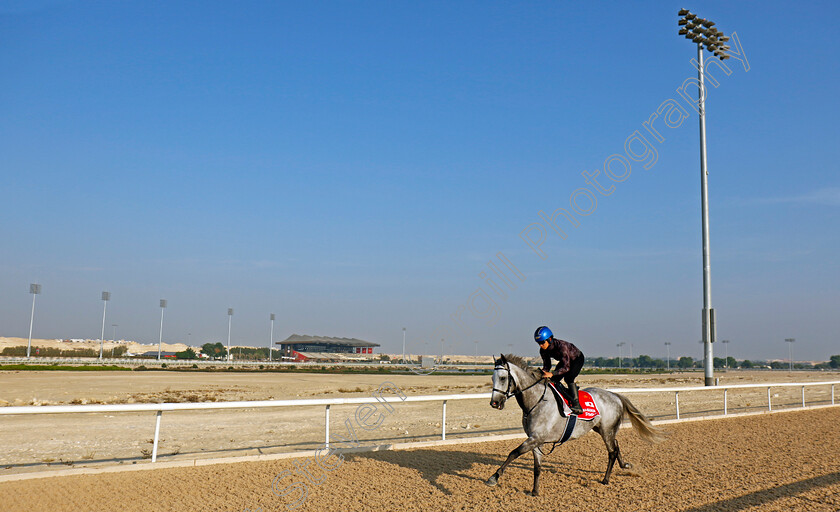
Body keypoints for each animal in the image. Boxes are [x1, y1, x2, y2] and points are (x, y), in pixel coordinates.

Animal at [486, 354, 664, 494]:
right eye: (492, 378)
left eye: (503, 378)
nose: (494, 403)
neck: (536, 401)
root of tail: (615, 395)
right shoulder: (536, 439)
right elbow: (537, 467)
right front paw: (535, 491)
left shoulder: (536, 438)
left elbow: (513, 453)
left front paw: (494, 477)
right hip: (601, 429)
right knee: (616, 445)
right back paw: (625, 465)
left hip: (606, 430)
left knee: (612, 452)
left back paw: (605, 479)